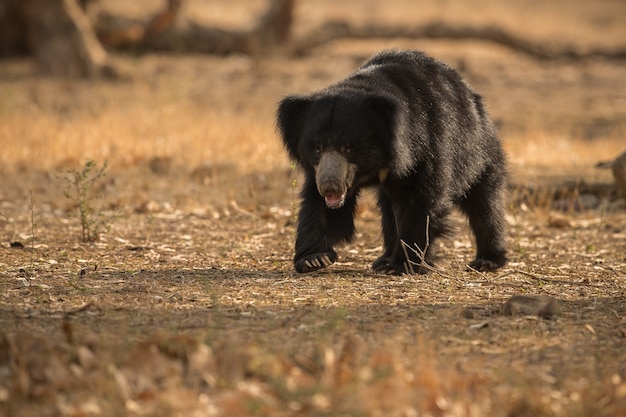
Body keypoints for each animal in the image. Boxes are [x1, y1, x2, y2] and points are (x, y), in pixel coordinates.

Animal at [276, 49, 504, 272]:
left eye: (348, 148)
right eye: (317, 148)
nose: (330, 187)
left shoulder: (427, 147)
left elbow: (420, 202)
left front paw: (402, 265)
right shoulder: (321, 170)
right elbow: (318, 206)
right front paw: (314, 258)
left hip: (478, 152)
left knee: (485, 203)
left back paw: (488, 260)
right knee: (388, 209)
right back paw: (383, 259)